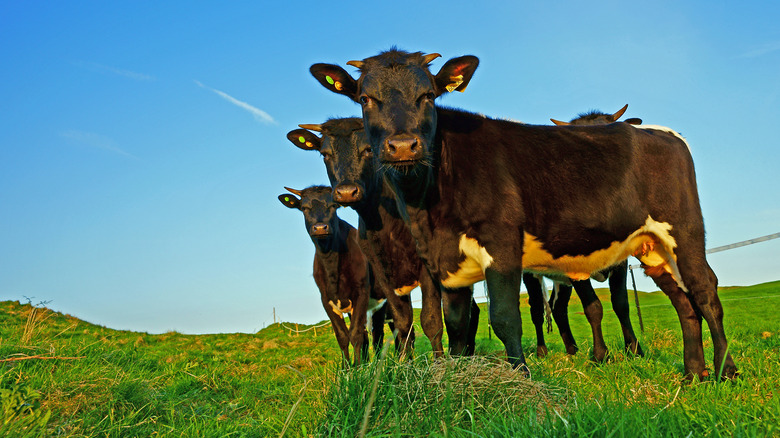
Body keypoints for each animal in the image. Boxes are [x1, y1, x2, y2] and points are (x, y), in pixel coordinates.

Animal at [280, 186, 384, 366]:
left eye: (333, 206)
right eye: (304, 208)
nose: (321, 227)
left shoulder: (361, 293)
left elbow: (355, 334)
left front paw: (357, 369)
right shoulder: (326, 299)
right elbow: (342, 336)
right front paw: (347, 369)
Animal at [286, 119, 482, 356]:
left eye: (368, 149)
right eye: (325, 154)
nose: (346, 192)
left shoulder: (424, 271)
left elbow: (431, 320)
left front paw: (440, 363)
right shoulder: (379, 277)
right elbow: (401, 324)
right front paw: (404, 363)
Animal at [308, 48, 736, 380]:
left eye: (428, 95)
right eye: (365, 99)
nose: (402, 146)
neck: (426, 207)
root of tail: (656, 131)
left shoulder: (502, 246)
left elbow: (503, 318)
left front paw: (522, 381)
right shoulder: (446, 265)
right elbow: (456, 326)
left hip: (684, 229)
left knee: (705, 290)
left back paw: (724, 371)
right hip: (651, 247)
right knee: (684, 302)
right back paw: (693, 373)